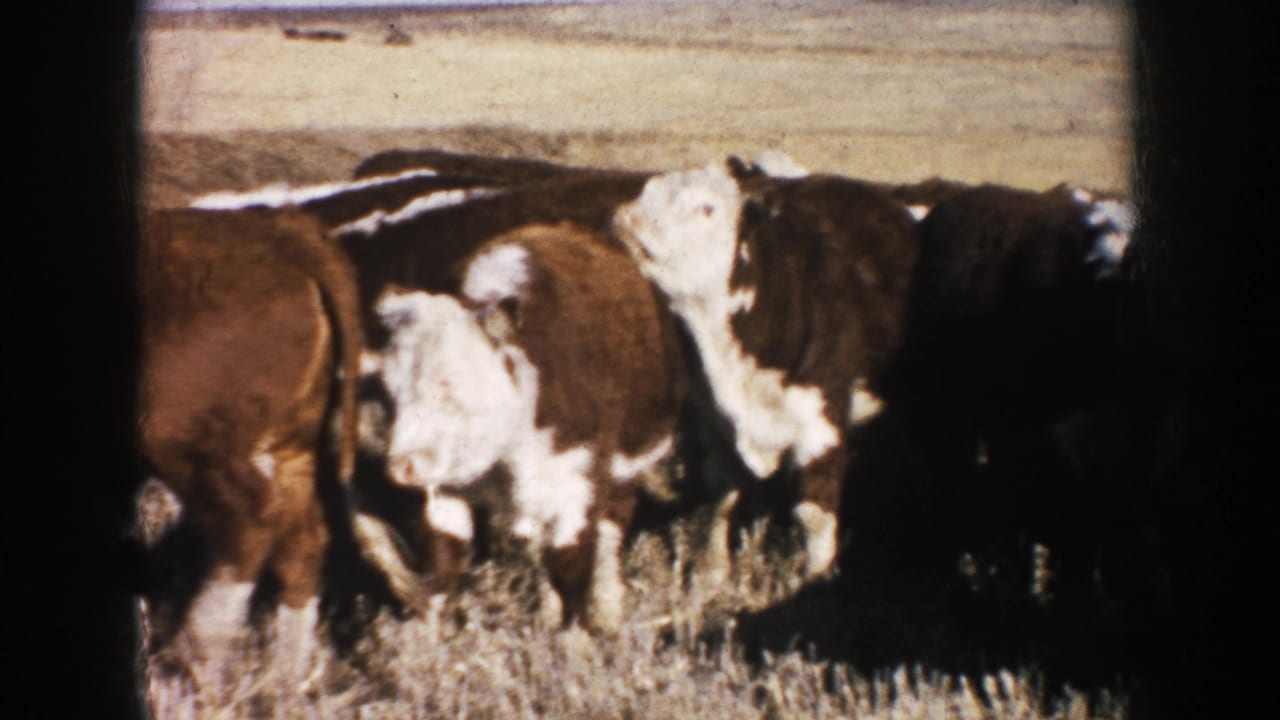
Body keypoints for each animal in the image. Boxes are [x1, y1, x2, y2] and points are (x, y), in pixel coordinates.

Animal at [368, 222, 685, 633]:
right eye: (388, 387)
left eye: (450, 381)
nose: (402, 466)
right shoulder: (446, 487)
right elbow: (441, 565)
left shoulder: (575, 483)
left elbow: (570, 572)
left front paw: (575, 642)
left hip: (624, 469)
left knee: (610, 530)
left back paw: (609, 612)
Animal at [612, 158, 920, 581]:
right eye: (648, 191)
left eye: (707, 208)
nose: (627, 218)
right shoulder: (713, 425)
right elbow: (721, 497)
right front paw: (709, 575)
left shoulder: (821, 425)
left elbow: (814, 516)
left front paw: (816, 582)